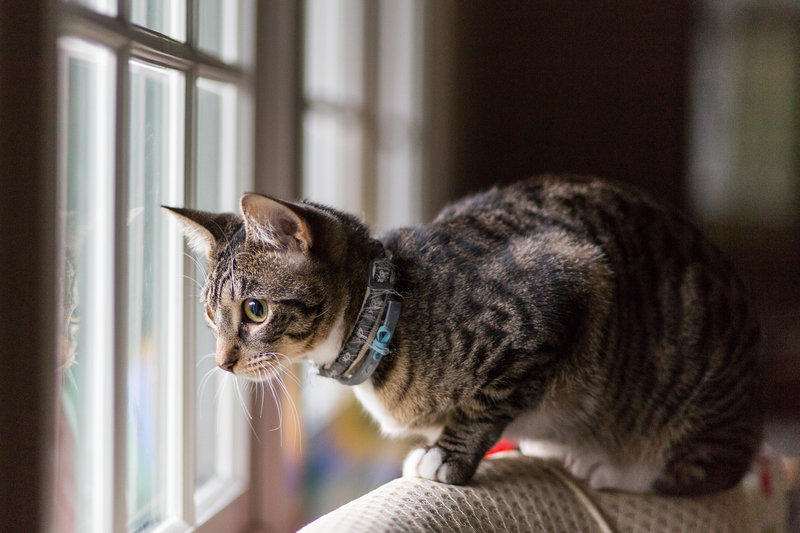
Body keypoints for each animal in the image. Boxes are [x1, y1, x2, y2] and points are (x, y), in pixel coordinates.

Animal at [164, 175, 764, 494]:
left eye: (255, 310)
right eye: (211, 318)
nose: (223, 361)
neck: (387, 308)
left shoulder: (564, 291)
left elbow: (486, 403)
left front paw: (446, 455)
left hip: (694, 387)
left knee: (708, 470)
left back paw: (615, 468)